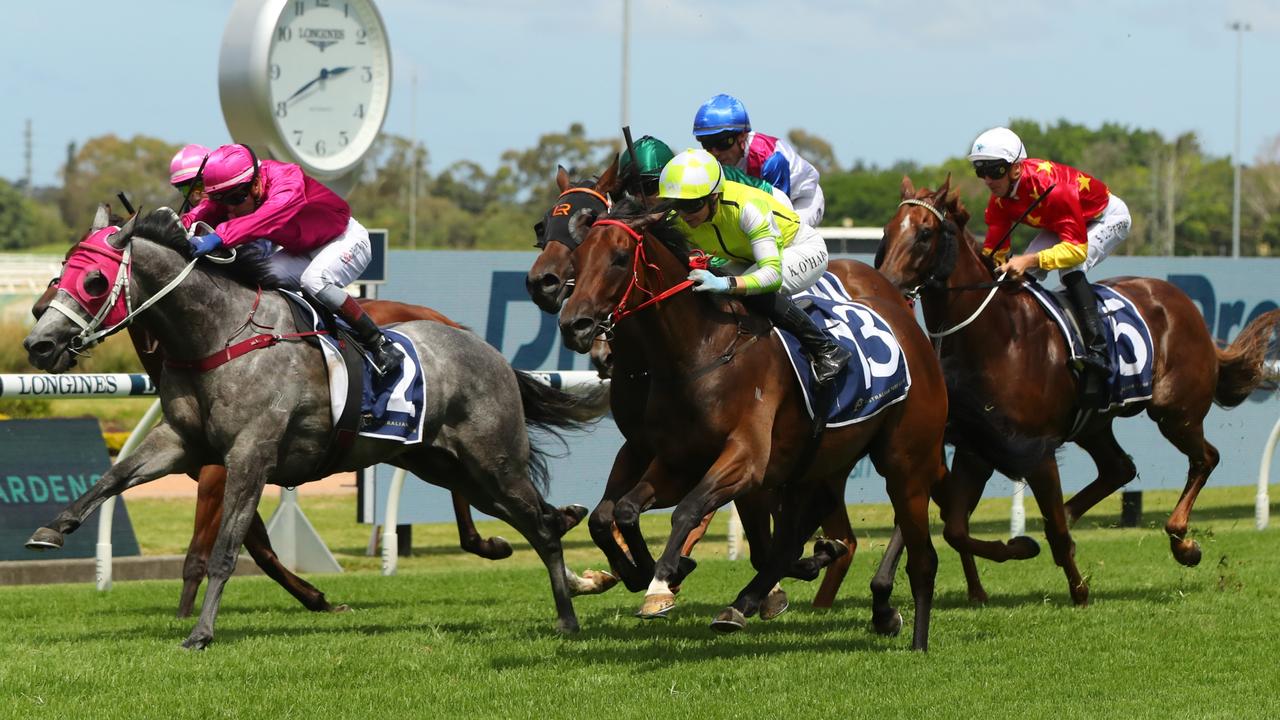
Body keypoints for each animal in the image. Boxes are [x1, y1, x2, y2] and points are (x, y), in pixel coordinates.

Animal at [23, 206, 593, 645]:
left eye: (93, 280)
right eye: (60, 270)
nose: (38, 343)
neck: (217, 335)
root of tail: (489, 351)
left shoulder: (247, 456)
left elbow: (226, 551)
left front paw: (201, 633)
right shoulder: (183, 442)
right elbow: (114, 477)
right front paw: (52, 529)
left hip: (493, 459)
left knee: (540, 526)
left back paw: (568, 617)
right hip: (445, 465)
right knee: (531, 520)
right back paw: (575, 565)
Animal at [560, 198, 952, 648]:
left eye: (620, 258)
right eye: (577, 259)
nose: (575, 325)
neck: (700, 351)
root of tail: (909, 326)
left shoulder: (745, 460)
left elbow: (687, 510)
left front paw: (662, 580)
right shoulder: (674, 460)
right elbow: (621, 511)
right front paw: (650, 573)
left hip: (906, 461)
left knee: (919, 548)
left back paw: (907, 630)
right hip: (818, 464)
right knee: (791, 538)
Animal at [875, 176, 1280, 602]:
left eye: (925, 234)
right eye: (887, 231)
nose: (888, 286)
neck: (996, 336)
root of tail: (1184, 305)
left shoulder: (1036, 451)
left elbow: (1043, 529)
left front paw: (1078, 588)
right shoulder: (975, 447)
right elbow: (956, 528)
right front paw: (1018, 549)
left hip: (1176, 412)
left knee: (1205, 458)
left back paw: (1184, 543)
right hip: (1094, 423)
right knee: (1120, 468)